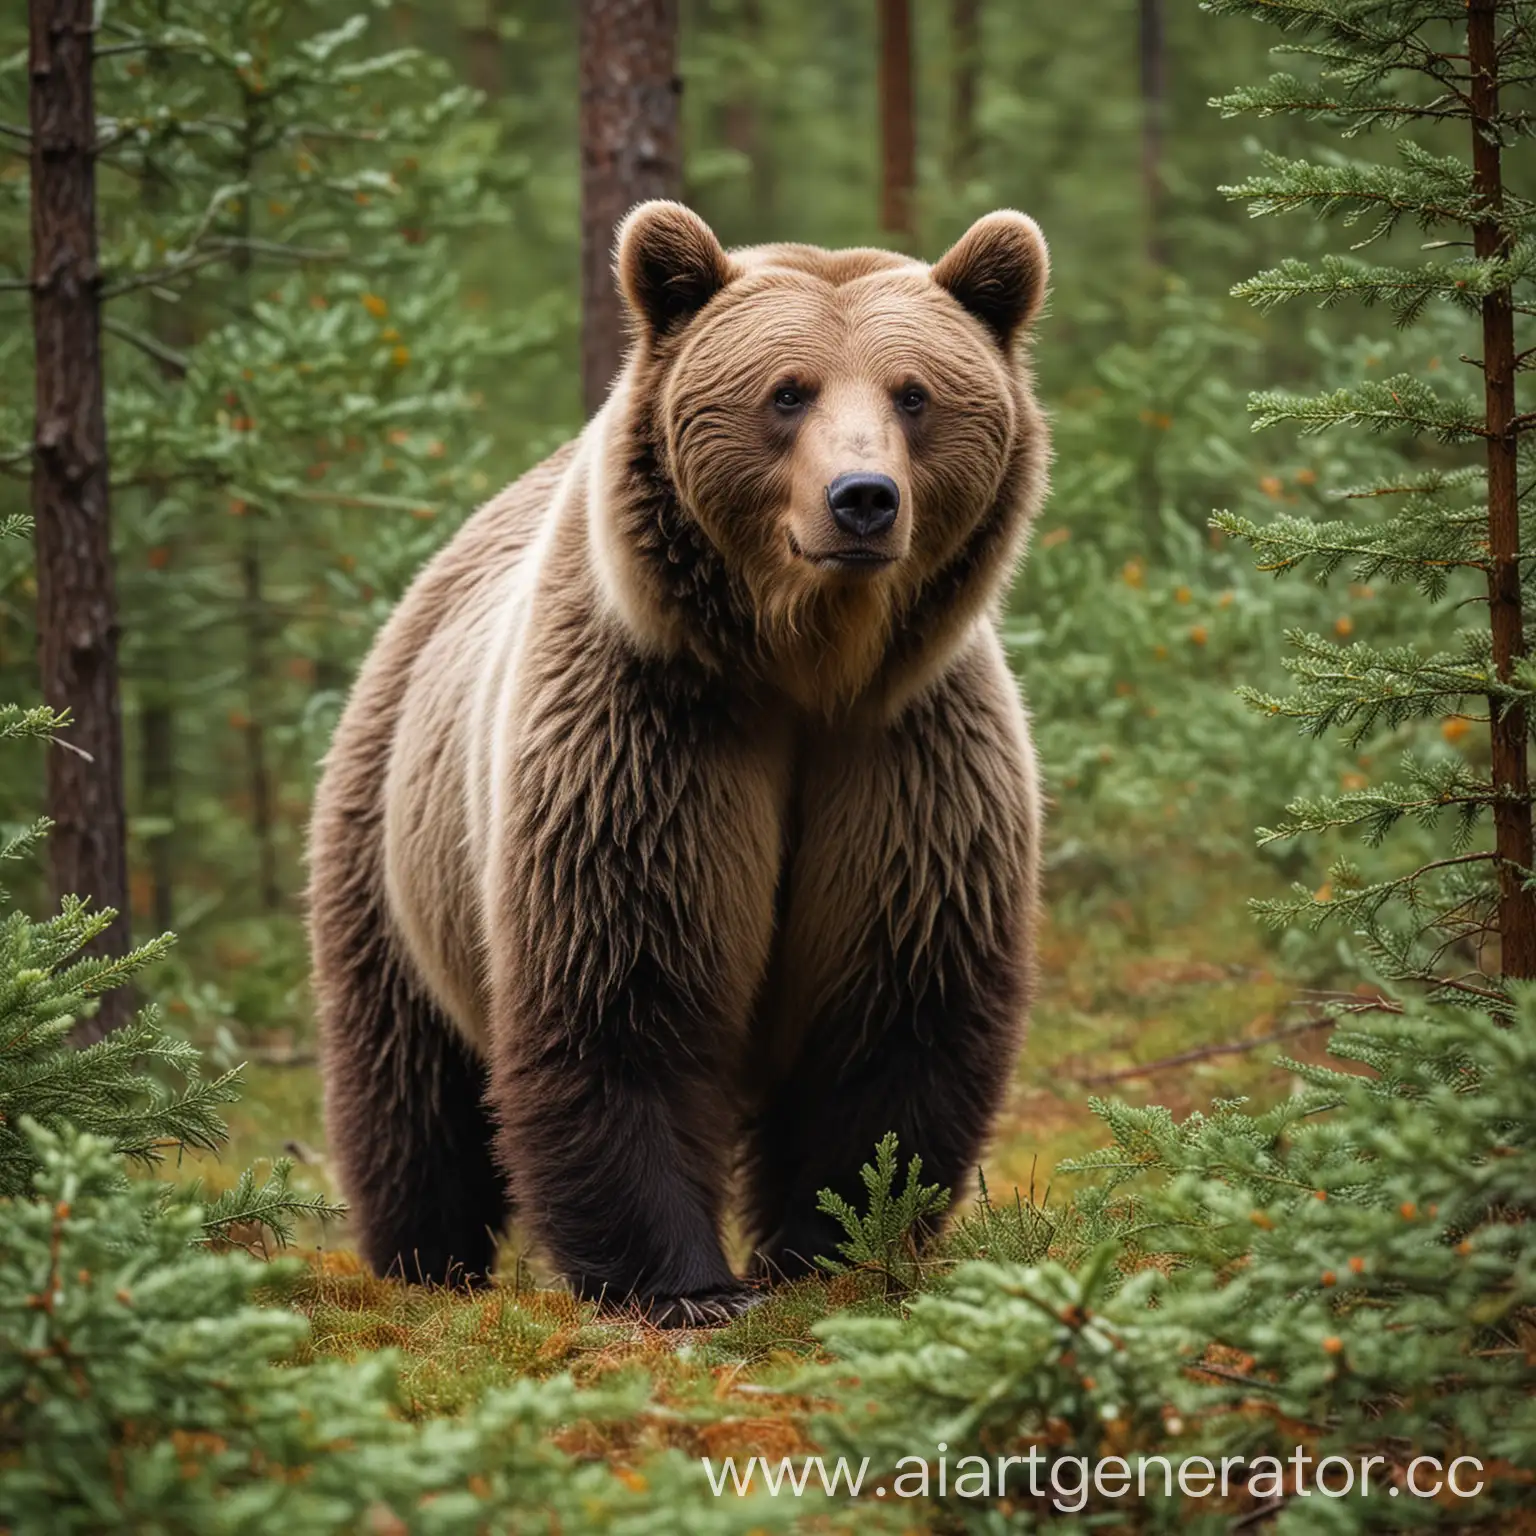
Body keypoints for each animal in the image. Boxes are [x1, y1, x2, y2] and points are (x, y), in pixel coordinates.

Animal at [305, 201, 1050, 1320]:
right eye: (788, 391)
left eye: (914, 393)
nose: (863, 499)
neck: (803, 665)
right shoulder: (650, 739)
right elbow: (627, 994)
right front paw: (686, 1285)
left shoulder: (904, 763)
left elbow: (892, 1018)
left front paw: (836, 1247)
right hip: (393, 844)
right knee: (407, 1084)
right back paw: (426, 1262)